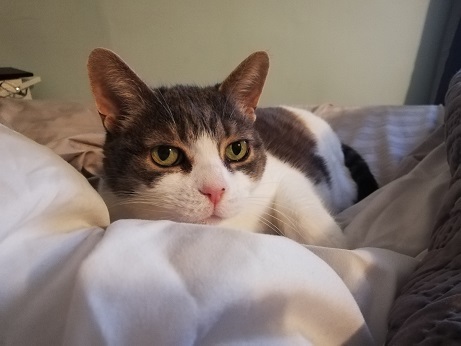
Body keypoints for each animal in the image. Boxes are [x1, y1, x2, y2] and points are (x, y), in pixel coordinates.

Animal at [87, 49, 378, 249]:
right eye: (164, 154)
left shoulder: (282, 175)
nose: (215, 190)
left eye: (236, 149)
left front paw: (338, 252)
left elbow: (301, 209)